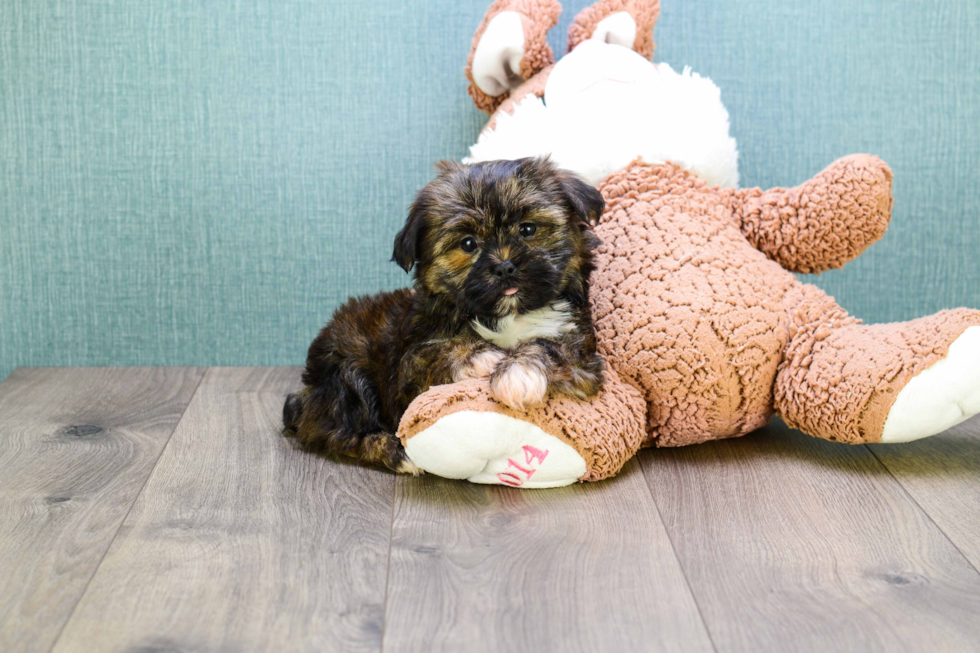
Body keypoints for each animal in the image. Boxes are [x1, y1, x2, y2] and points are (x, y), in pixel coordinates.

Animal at [282, 158, 604, 474]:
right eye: (468, 244)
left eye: (527, 229)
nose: (504, 267)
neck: (502, 316)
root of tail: (306, 394)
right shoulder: (409, 369)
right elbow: (434, 353)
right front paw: (477, 356)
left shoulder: (580, 351)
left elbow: (547, 345)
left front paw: (518, 371)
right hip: (347, 376)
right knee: (338, 434)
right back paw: (395, 452)